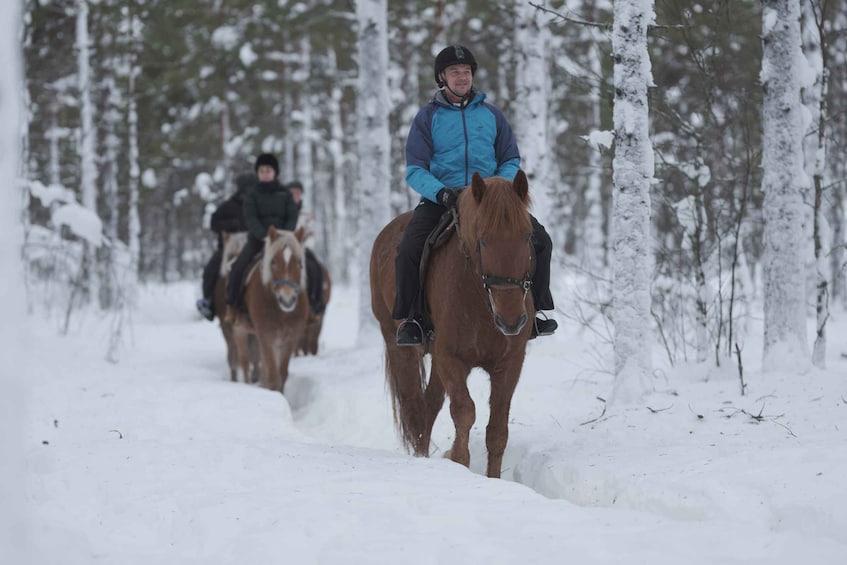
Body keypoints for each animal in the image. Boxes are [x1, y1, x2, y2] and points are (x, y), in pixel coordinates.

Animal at [232, 225, 312, 392]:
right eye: (273, 261)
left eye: (299, 262)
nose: (287, 300)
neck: (281, 312)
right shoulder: (266, 337)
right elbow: (274, 378)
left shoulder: (289, 339)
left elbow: (282, 374)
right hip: (239, 330)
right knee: (244, 361)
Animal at [372, 172, 536, 476]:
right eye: (483, 240)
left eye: (527, 235)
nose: (511, 320)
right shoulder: (451, 358)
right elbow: (464, 412)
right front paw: (457, 460)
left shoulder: (509, 363)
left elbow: (497, 430)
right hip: (398, 345)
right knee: (415, 407)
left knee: (429, 405)